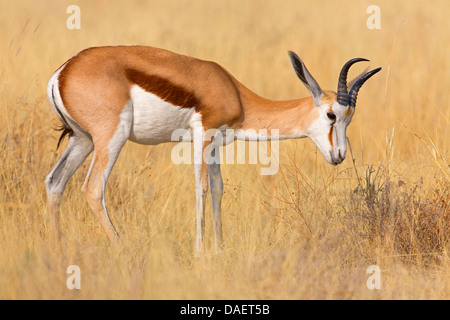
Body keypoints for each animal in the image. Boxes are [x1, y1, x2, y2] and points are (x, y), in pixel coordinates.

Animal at [45, 46, 380, 252]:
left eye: (349, 118)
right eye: (332, 115)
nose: (339, 156)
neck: (235, 94)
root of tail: (63, 71)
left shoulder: (216, 145)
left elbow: (218, 189)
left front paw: (219, 249)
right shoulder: (202, 136)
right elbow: (201, 188)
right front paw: (200, 252)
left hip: (82, 139)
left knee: (54, 182)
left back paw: (58, 252)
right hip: (110, 138)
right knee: (92, 188)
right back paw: (123, 248)